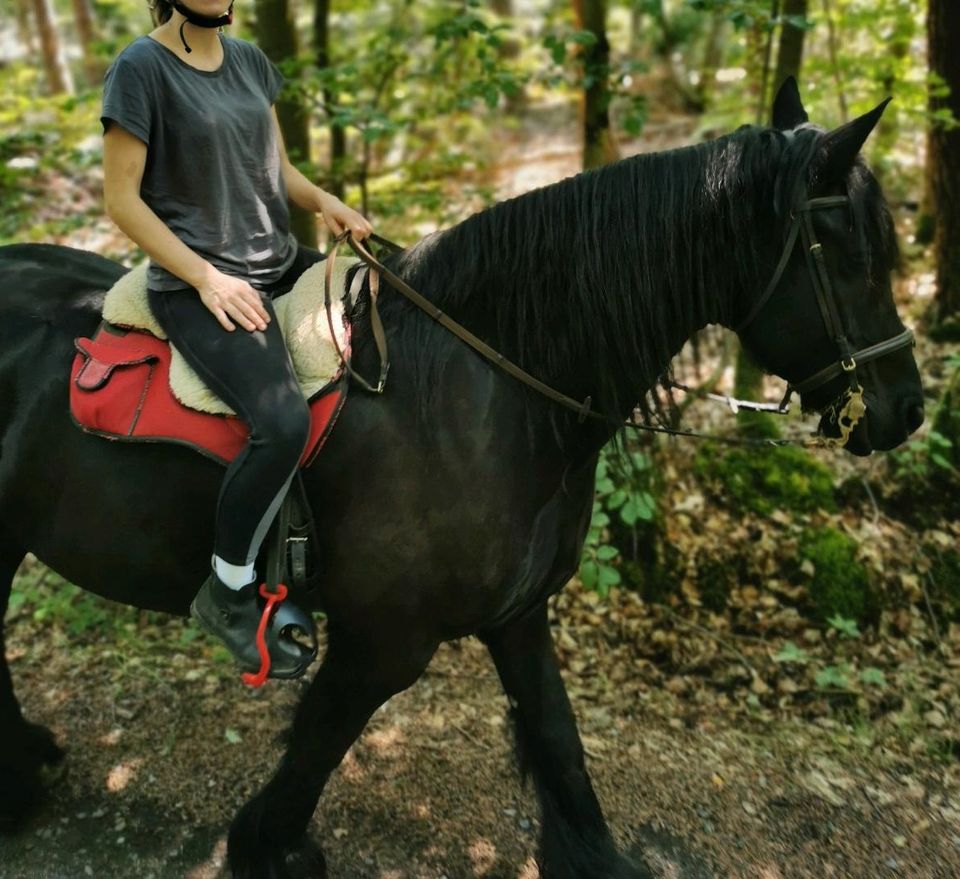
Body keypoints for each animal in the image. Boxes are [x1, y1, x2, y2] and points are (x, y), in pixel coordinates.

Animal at [1, 84, 924, 879]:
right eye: (851, 256)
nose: (907, 408)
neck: (483, 395)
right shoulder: (384, 643)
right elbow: (315, 749)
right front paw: (265, 847)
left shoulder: (519, 616)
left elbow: (558, 743)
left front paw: (594, 855)